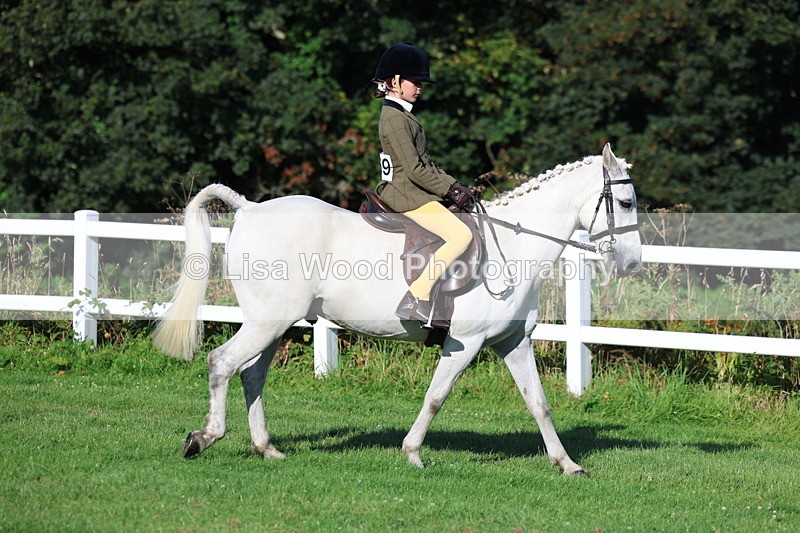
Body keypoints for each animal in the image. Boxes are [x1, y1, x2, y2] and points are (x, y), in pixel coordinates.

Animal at [153, 143, 642, 476]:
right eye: (625, 202)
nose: (633, 263)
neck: (514, 247)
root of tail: (251, 209)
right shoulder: (465, 343)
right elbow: (436, 396)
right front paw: (412, 453)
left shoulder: (512, 342)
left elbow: (538, 403)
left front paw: (567, 464)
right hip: (267, 322)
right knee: (222, 363)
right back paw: (204, 438)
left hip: (273, 324)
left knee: (252, 373)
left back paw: (266, 448)